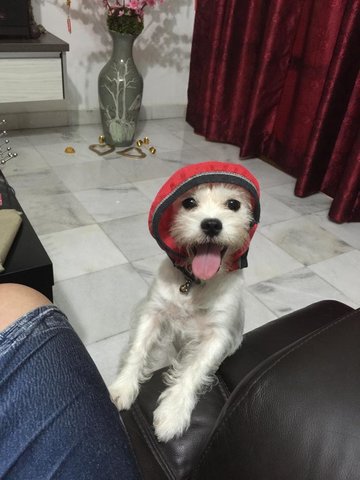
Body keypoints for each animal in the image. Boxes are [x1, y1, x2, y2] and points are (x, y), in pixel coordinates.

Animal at [108, 163, 260, 440]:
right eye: (189, 202)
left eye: (233, 204)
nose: (211, 224)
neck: (196, 283)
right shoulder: (153, 312)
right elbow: (137, 349)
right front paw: (123, 387)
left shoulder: (217, 335)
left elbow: (194, 370)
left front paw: (172, 414)